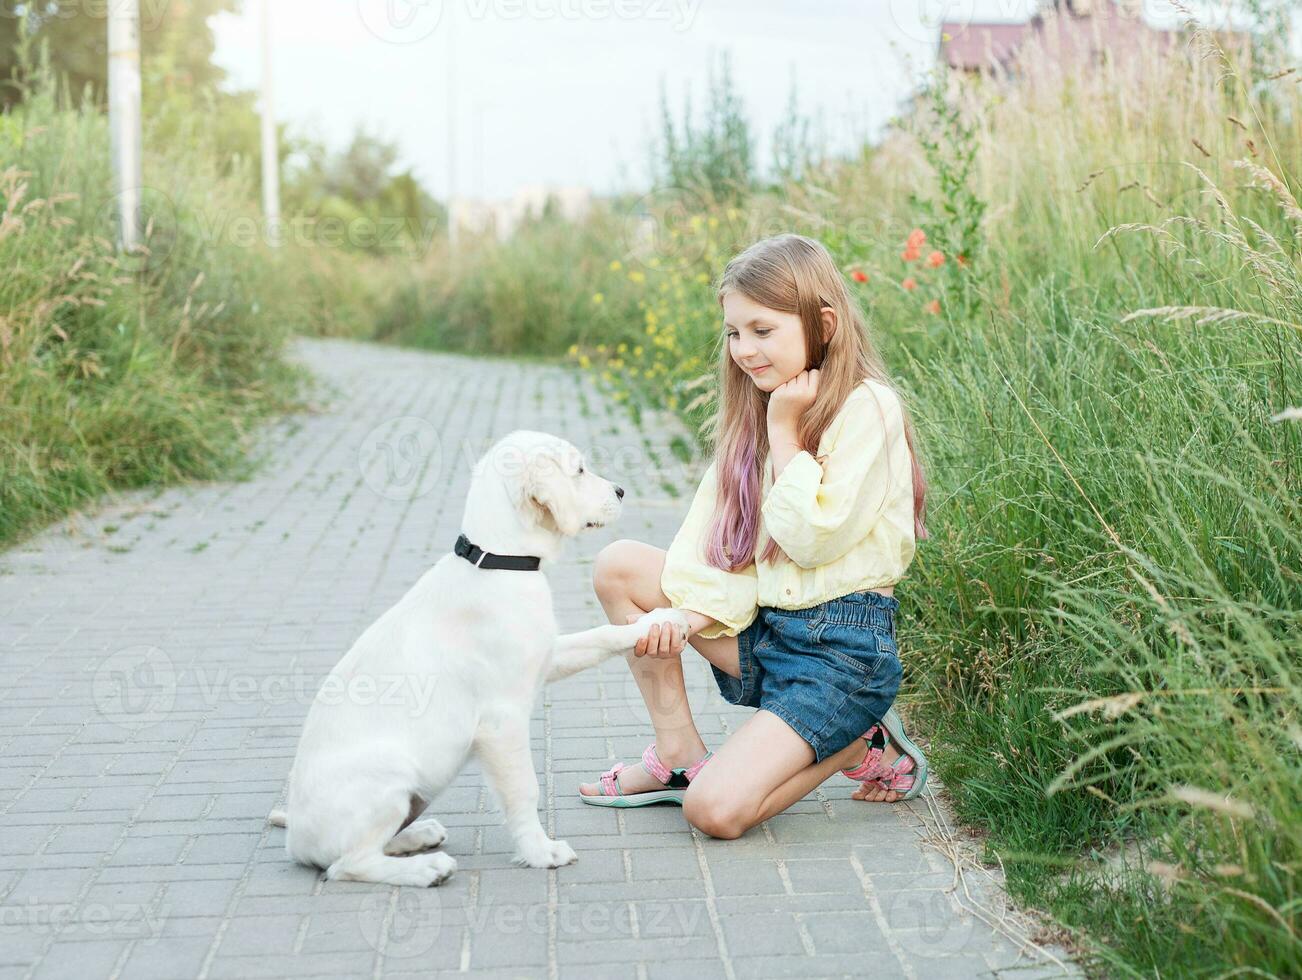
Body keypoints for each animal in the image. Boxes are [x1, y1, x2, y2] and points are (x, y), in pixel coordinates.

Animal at [269, 426, 687, 884]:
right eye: (578, 470)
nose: (621, 491)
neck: (498, 562)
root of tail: (295, 838)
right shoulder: (501, 723)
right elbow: (524, 790)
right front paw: (540, 851)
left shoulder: (548, 654)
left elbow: (603, 636)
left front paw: (663, 619)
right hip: (389, 775)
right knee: (347, 864)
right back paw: (426, 867)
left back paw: (419, 837)